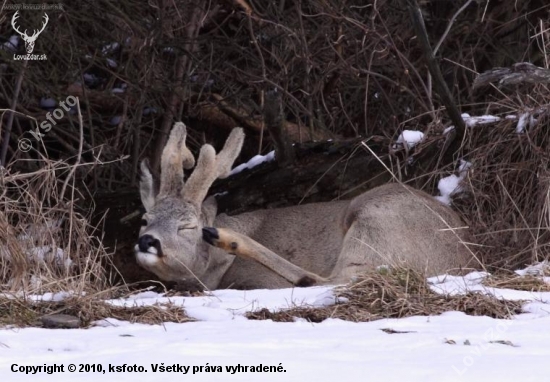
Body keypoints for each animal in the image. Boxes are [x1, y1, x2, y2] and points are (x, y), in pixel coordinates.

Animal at [137, 122, 474, 290]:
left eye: (187, 225)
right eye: (145, 219)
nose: (147, 241)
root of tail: (465, 258)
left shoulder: (255, 280)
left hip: (375, 218)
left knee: (334, 280)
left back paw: (229, 239)